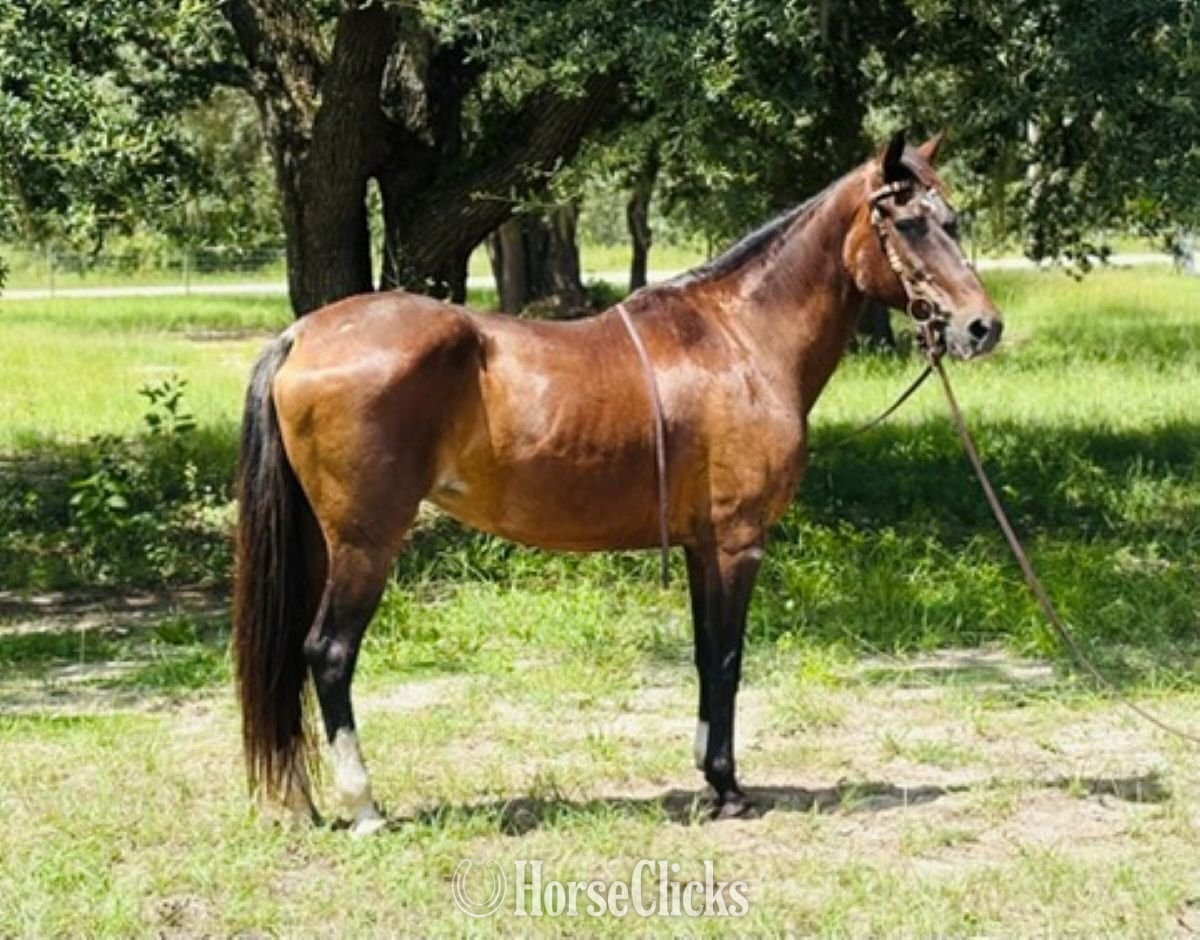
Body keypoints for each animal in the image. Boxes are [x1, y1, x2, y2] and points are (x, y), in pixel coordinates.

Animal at [233, 131, 1003, 835]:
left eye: (955, 218)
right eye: (909, 222)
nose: (981, 327)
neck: (740, 339)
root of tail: (302, 335)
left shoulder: (701, 545)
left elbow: (705, 654)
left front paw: (709, 776)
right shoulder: (738, 542)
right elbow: (728, 658)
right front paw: (729, 790)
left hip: (322, 543)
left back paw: (303, 801)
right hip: (367, 544)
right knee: (328, 654)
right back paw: (364, 806)